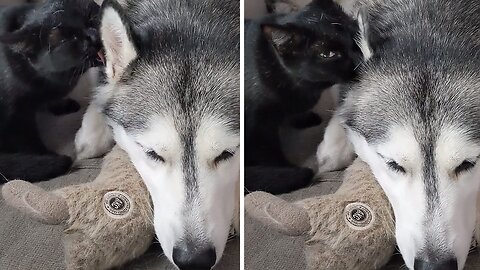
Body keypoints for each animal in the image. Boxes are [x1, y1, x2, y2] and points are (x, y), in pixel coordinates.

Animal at [0, 0, 102, 184]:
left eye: (91, 15)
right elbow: (28, 140)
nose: (92, 35)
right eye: (67, 39)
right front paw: (44, 155)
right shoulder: (17, 118)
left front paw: (62, 104)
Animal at [246, 0, 362, 194]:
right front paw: (286, 169)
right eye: (327, 54)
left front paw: (304, 118)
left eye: (356, 37)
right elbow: (270, 154)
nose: (360, 59)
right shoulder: (260, 129)